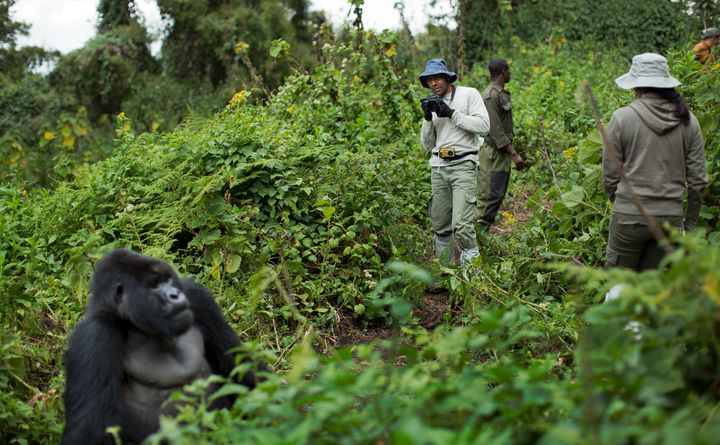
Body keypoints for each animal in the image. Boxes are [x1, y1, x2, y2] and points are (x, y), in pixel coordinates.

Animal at [60, 248, 260, 442]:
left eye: (167, 280)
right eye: (154, 285)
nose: (175, 294)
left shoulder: (197, 297)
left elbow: (241, 367)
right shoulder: (94, 336)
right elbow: (89, 429)